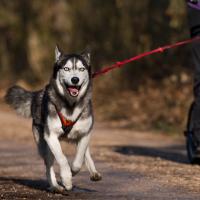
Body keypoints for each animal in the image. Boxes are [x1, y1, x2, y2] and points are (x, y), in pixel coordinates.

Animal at [5, 46, 101, 191]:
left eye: (81, 69)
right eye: (66, 68)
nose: (75, 79)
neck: (70, 105)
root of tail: (38, 94)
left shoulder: (85, 133)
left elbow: (78, 160)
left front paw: (73, 172)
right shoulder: (50, 136)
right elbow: (62, 158)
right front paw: (66, 179)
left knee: (84, 151)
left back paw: (93, 172)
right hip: (43, 144)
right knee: (48, 165)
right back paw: (55, 186)